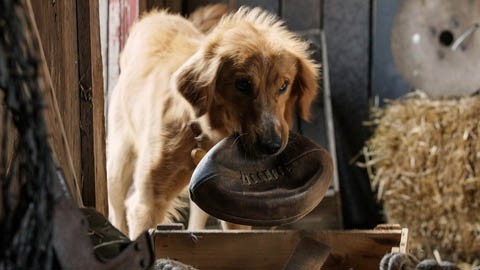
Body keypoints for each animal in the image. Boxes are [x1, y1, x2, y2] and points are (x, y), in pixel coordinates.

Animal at [107, 4, 320, 238]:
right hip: (118, 164)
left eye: (284, 85)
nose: (271, 146)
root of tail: (155, 15)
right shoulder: (148, 203)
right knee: (115, 210)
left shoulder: (233, 204)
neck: (203, 130)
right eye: (242, 84)